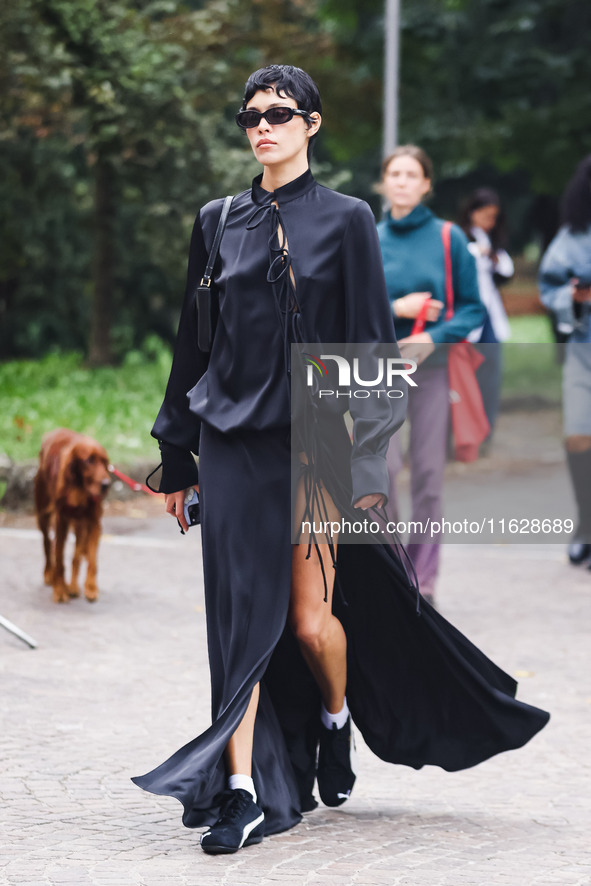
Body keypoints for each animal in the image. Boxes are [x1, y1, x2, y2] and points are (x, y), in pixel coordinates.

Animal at [35, 428, 112, 604]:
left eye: (104, 462)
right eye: (89, 461)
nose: (106, 485)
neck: (80, 489)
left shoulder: (93, 522)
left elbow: (90, 560)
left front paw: (91, 588)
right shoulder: (61, 522)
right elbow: (59, 559)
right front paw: (59, 590)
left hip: (79, 525)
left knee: (76, 554)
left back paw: (73, 586)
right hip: (43, 514)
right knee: (47, 543)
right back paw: (49, 574)